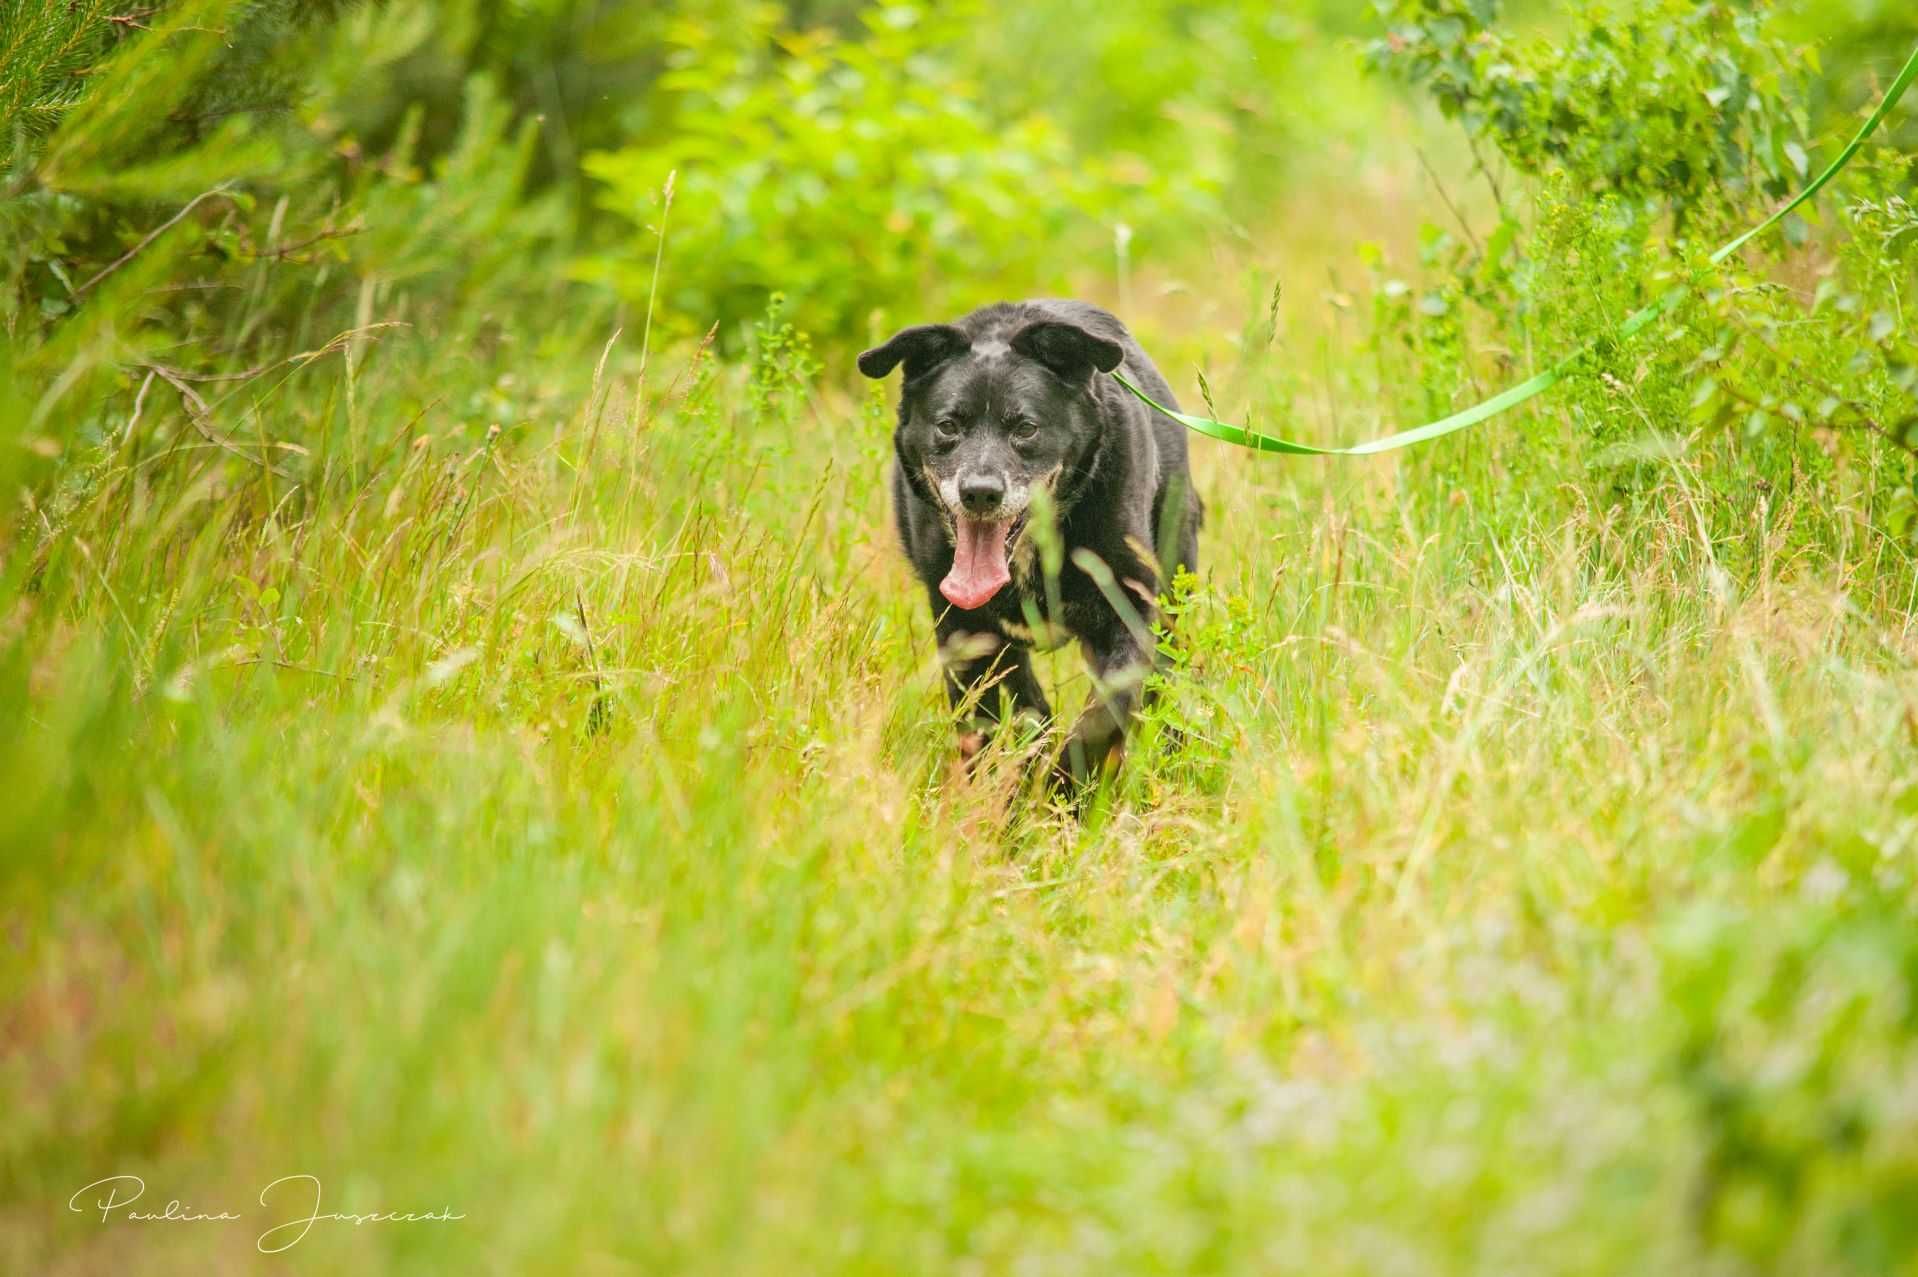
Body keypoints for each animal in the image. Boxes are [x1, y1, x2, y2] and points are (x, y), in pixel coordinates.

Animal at [866, 299, 1204, 786]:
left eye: (1026, 428)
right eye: (948, 425)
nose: (980, 492)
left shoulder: (1129, 609)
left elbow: (1105, 713)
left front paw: (1066, 785)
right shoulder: (963, 632)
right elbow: (986, 723)